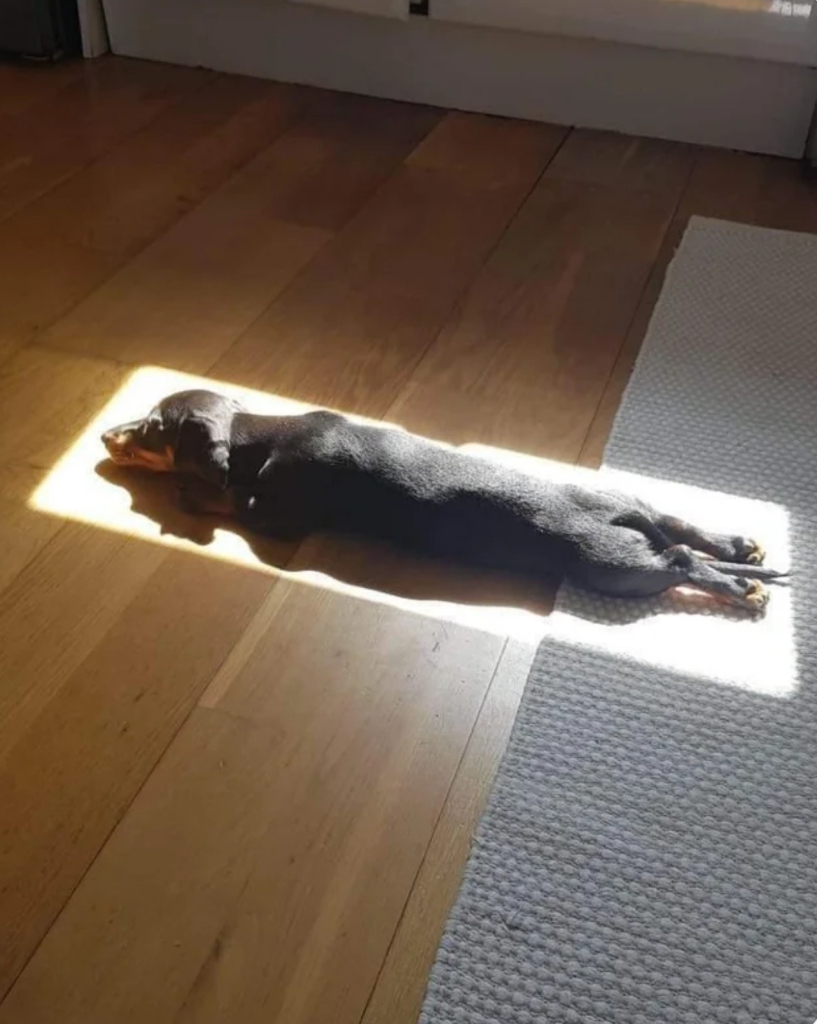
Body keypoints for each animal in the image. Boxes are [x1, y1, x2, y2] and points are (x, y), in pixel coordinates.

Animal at [102, 385, 786, 606]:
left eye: (152, 428)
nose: (106, 434)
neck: (261, 435)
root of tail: (619, 515)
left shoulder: (277, 515)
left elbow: (229, 501)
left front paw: (192, 496)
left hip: (611, 567)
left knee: (679, 561)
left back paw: (738, 589)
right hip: (636, 510)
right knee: (679, 525)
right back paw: (740, 549)